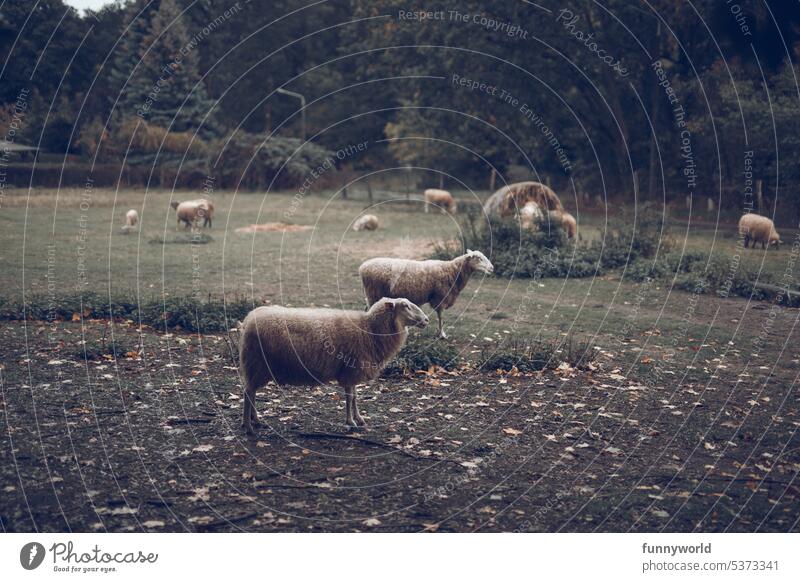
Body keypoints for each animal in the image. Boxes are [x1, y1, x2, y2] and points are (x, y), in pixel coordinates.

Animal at [238, 298, 428, 436]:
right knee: (248, 393)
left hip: (257, 366)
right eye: (405, 306)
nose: (426, 320)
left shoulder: (352, 372)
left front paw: (359, 418)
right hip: (257, 364)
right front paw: (351, 422)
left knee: (251, 392)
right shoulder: (350, 371)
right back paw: (249, 426)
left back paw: (256, 421)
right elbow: (350, 398)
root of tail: (247, 320)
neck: (369, 329)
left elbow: (355, 397)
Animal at [358, 249, 494, 340]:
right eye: (479, 258)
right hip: (373, 293)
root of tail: (362, 267)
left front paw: (440, 333)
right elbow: (441, 317)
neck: (453, 271)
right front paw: (442, 334)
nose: (492, 268)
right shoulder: (440, 297)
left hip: (370, 294)